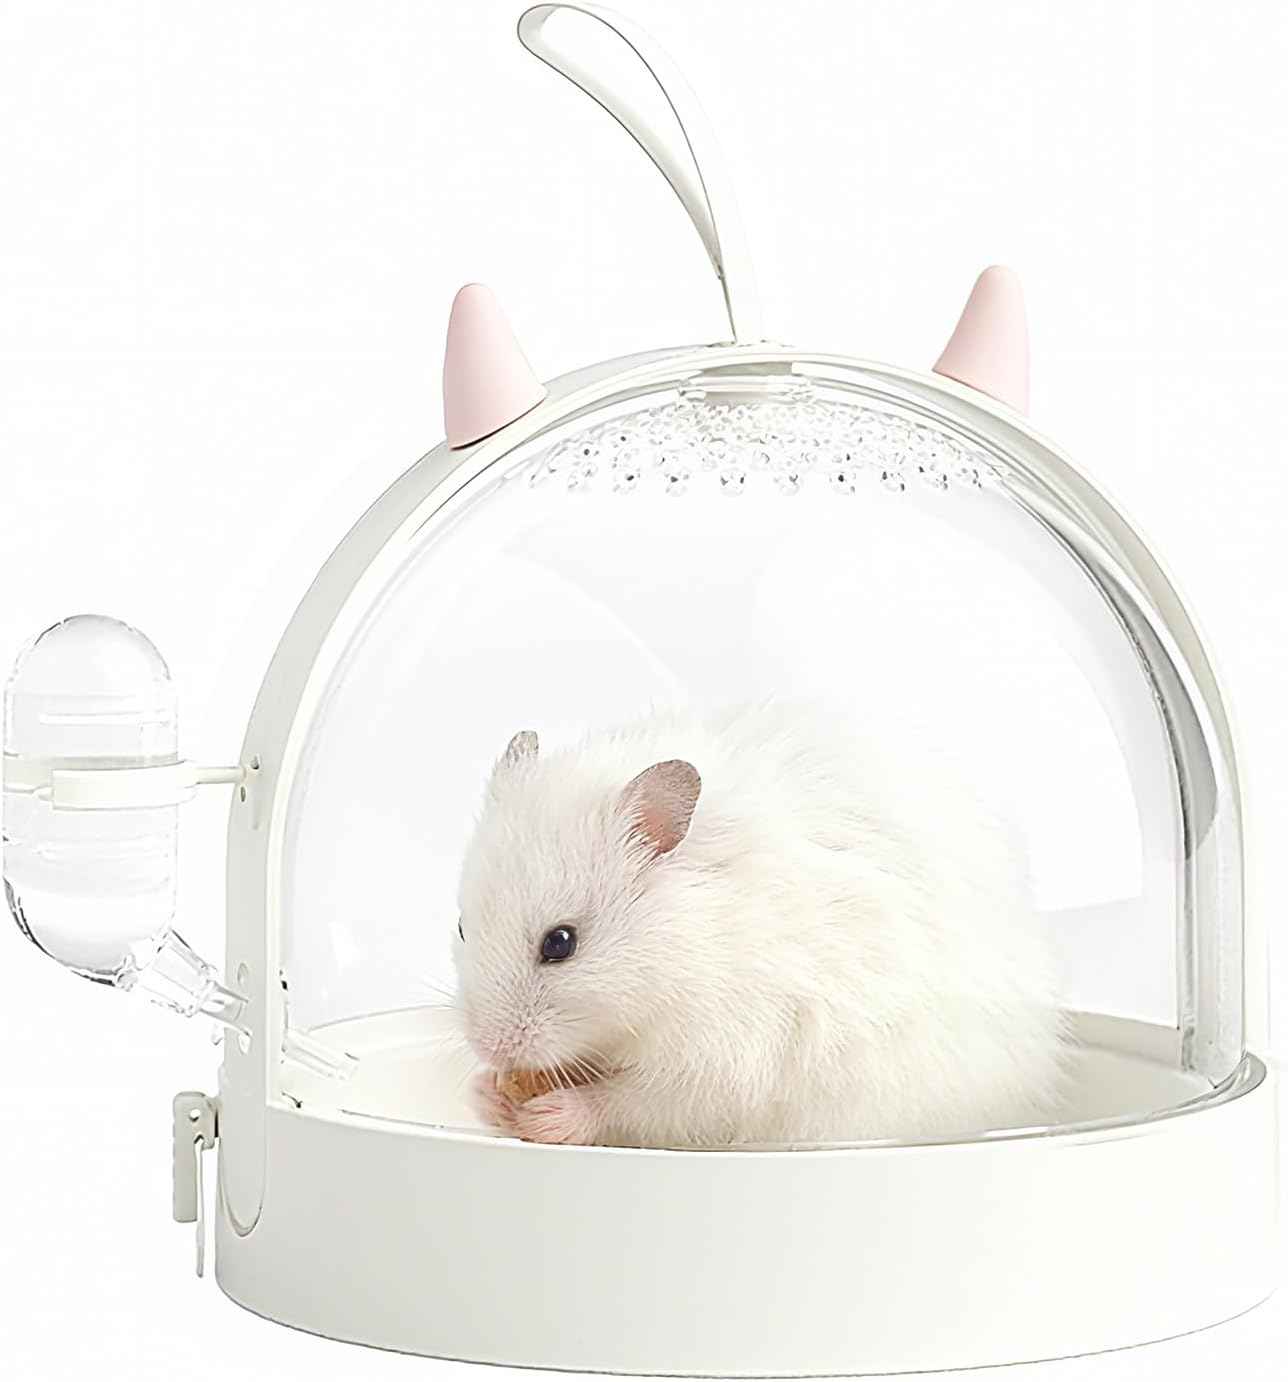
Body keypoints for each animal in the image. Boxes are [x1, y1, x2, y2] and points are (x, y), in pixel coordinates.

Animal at [453, 699, 1068, 1148]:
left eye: (560, 943)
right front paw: (485, 1091)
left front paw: (548, 1115)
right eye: (460, 927)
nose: (491, 1049)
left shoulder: (730, 1056)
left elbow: (642, 1100)